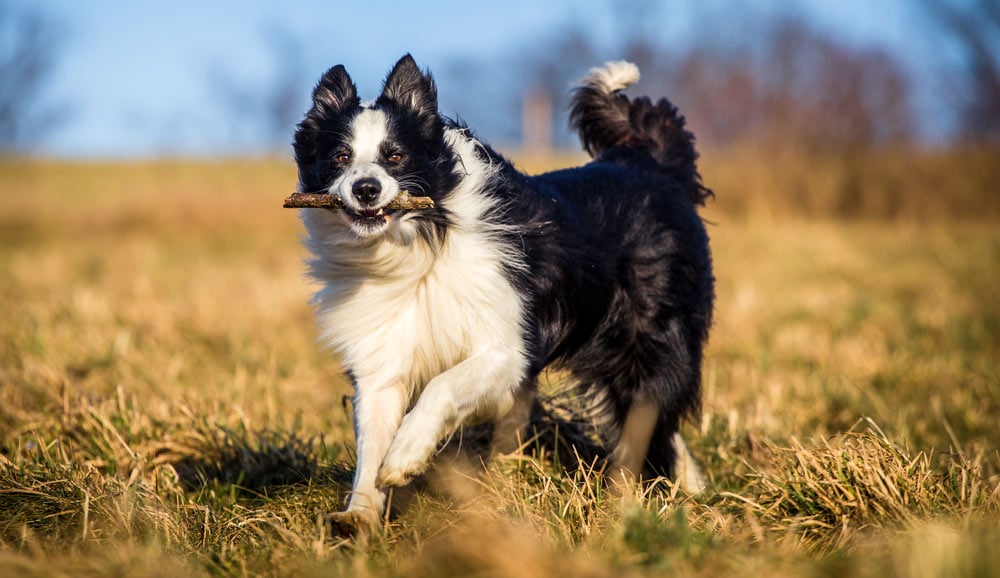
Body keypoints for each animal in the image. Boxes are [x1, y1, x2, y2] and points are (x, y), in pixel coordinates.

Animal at [292, 56, 716, 528]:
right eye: (340, 157)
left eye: (395, 156)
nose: (365, 189)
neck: (420, 244)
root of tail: (648, 163)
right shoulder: (381, 357)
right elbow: (371, 441)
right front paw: (359, 515)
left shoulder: (508, 349)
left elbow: (442, 386)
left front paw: (405, 456)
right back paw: (687, 491)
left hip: (647, 338)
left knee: (652, 412)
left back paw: (637, 496)